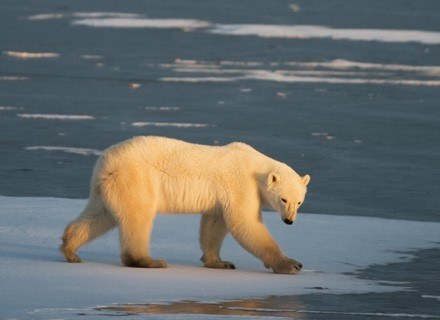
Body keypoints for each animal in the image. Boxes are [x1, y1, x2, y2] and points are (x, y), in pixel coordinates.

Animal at [60, 136, 312, 274]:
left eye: (299, 201)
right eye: (283, 199)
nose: (289, 220)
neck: (255, 166)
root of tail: (107, 162)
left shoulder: (221, 196)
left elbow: (214, 223)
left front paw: (219, 262)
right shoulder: (240, 184)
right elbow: (245, 223)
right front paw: (291, 264)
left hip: (107, 186)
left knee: (99, 216)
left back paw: (70, 249)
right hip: (136, 178)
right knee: (138, 217)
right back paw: (150, 261)